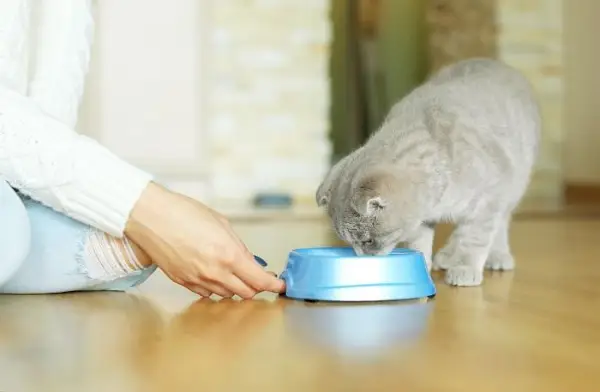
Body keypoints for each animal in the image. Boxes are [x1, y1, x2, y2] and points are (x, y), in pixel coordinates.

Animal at [316, 56, 540, 286]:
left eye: (368, 240)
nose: (361, 258)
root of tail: (495, 62)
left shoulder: (490, 198)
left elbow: (475, 238)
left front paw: (465, 267)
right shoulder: (422, 219)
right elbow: (419, 243)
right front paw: (422, 265)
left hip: (513, 187)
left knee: (499, 224)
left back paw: (497, 256)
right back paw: (448, 255)